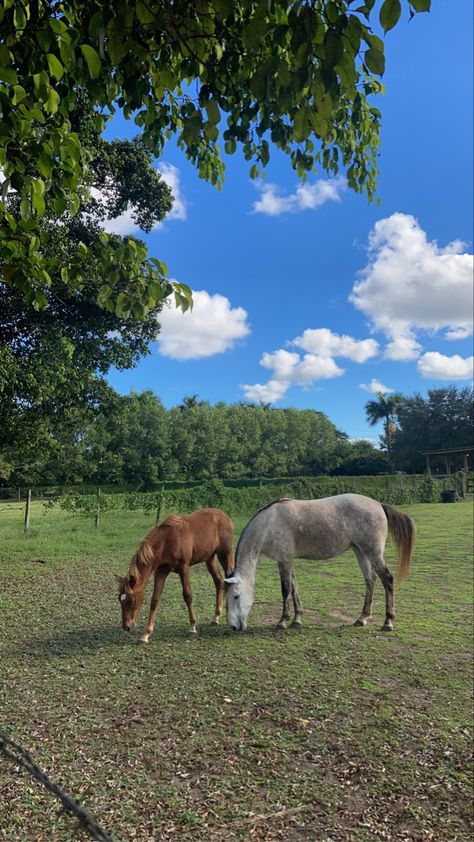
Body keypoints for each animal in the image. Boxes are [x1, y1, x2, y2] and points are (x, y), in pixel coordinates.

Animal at [115, 508, 233, 640]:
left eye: (131, 600)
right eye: (120, 599)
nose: (126, 627)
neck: (166, 542)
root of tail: (224, 515)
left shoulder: (184, 569)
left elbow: (187, 596)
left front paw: (192, 627)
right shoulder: (161, 572)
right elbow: (155, 599)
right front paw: (146, 634)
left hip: (224, 553)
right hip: (210, 558)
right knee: (218, 581)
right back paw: (216, 617)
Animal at [225, 492, 414, 632]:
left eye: (236, 596)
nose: (233, 626)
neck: (269, 524)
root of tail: (379, 505)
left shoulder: (284, 560)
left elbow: (286, 589)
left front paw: (282, 621)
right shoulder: (287, 560)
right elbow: (294, 587)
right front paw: (297, 619)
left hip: (373, 553)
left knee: (387, 579)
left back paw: (388, 622)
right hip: (360, 551)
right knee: (370, 580)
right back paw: (362, 618)